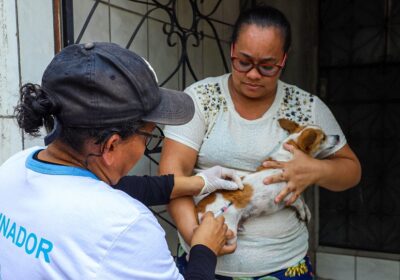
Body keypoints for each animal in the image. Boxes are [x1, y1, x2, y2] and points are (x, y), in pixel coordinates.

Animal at [195, 118, 340, 243]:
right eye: (323, 138)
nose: (338, 136)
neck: (289, 157)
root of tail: (199, 207)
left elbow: (301, 199)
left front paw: (307, 211)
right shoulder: (286, 193)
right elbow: (298, 201)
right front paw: (303, 211)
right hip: (228, 228)